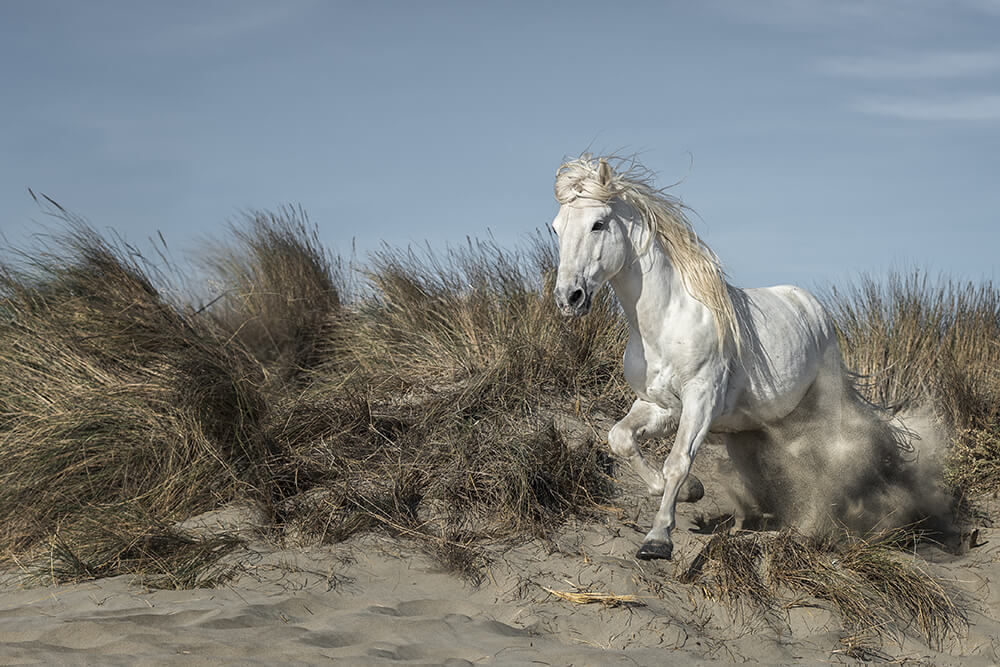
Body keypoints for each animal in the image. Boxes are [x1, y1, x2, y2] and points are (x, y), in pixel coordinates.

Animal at [552, 155, 848, 560]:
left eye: (598, 223)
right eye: (556, 228)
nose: (569, 298)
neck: (665, 322)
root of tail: (813, 308)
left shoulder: (701, 398)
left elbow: (677, 461)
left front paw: (658, 539)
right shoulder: (658, 404)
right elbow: (621, 438)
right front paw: (685, 491)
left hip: (819, 407)